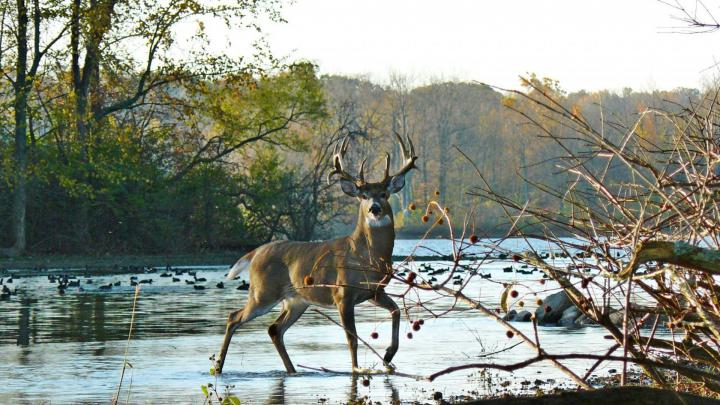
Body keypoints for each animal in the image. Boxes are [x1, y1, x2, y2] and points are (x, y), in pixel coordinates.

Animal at [215, 133, 418, 375]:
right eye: (363, 196)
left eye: (384, 194)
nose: (375, 208)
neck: (367, 256)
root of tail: (255, 253)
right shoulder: (342, 293)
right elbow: (352, 338)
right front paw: (357, 369)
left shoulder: (374, 291)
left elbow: (396, 311)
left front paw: (388, 356)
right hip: (263, 292)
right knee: (234, 317)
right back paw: (218, 366)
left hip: (296, 300)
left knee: (274, 329)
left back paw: (292, 370)